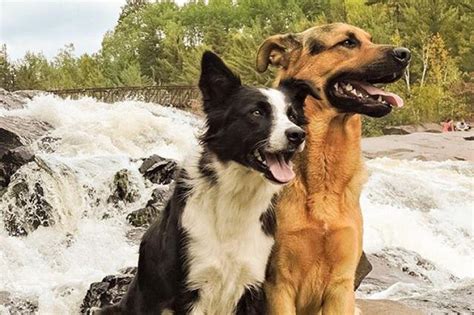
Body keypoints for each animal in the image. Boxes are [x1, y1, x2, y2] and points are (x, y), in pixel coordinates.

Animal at [100, 52, 320, 315]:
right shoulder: (189, 292)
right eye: (256, 113)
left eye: (293, 116)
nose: (297, 135)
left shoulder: (252, 286)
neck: (236, 197)